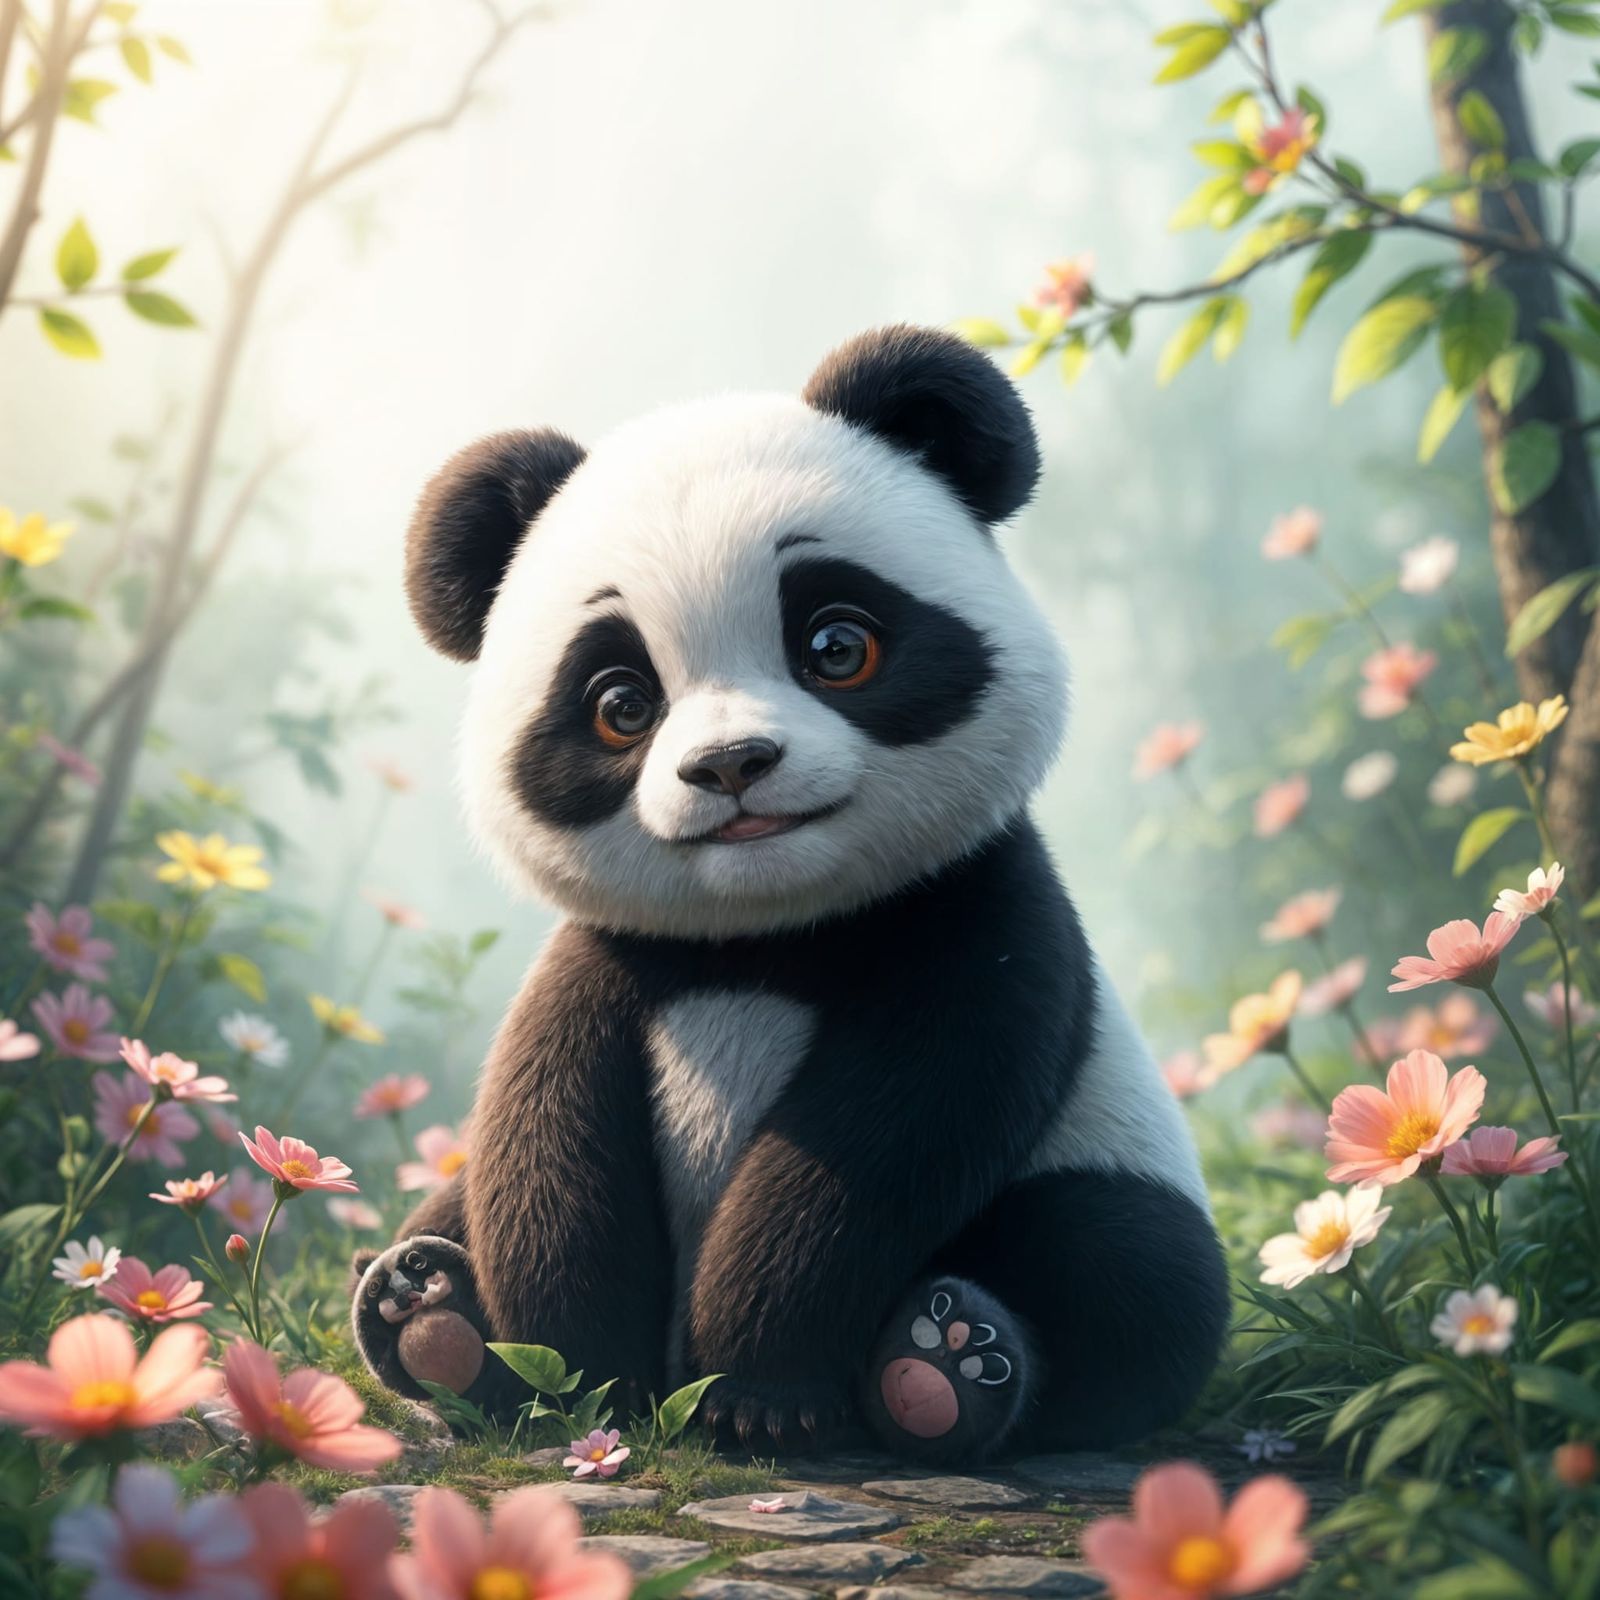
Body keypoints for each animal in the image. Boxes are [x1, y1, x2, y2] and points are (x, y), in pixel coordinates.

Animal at [351, 325, 1229, 1463]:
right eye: (621, 704)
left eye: (836, 646)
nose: (732, 764)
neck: (763, 935)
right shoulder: (611, 955)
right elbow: (548, 1127)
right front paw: (576, 1377)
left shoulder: (976, 915)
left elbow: (883, 1139)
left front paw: (757, 1394)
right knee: (448, 1212)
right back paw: (432, 1317)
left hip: (1105, 1156)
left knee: (1122, 1263)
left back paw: (943, 1361)